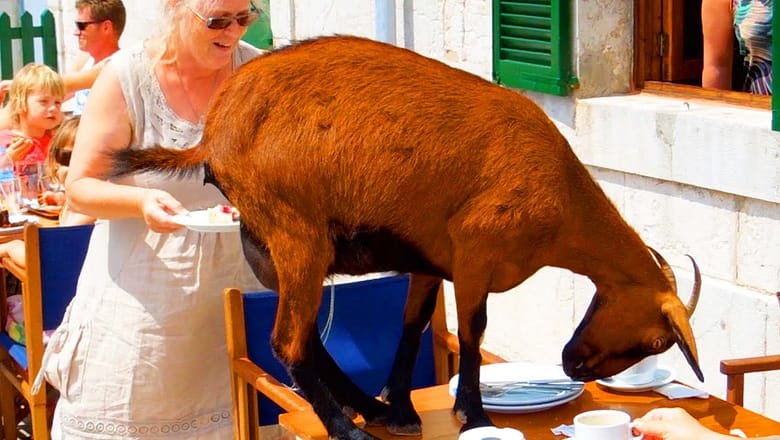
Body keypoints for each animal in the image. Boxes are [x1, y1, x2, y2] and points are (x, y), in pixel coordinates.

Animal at [112, 35, 703, 439]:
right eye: (659, 342)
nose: (572, 365)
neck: (560, 195)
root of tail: (215, 132)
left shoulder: (429, 257)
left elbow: (412, 324)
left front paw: (398, 407)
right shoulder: (476, 250)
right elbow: (472, 331)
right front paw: (472, 413)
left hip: (268, 244)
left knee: (307, 336)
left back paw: (366, 409)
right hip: (297, 234)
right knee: (288, 341)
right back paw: (347, 429)